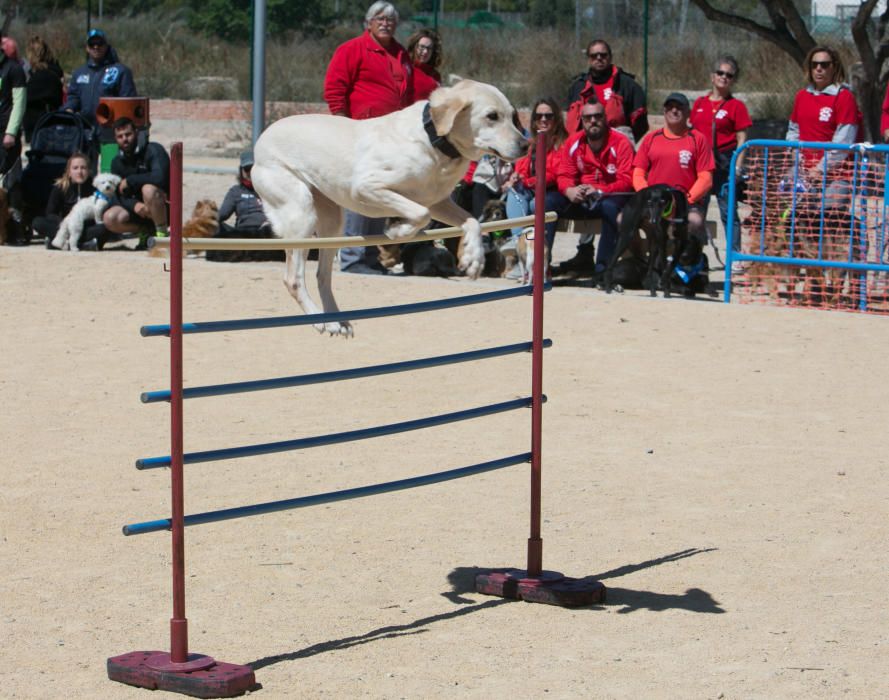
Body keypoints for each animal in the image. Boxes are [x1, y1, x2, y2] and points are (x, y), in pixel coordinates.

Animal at [250, 79, 528, 336]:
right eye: (492, 116)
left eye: (513, 115)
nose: (526, 145)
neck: (433, 140)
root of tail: (262, 139)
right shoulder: (367, 187)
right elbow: (421, 214)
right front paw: (398, 231)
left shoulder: (439, 202)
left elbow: (471, 221)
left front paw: (473, 257)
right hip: (302, 213)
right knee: (293, 279)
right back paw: (321, 320)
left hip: (332, 223)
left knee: (322, 277)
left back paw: (337, 320)